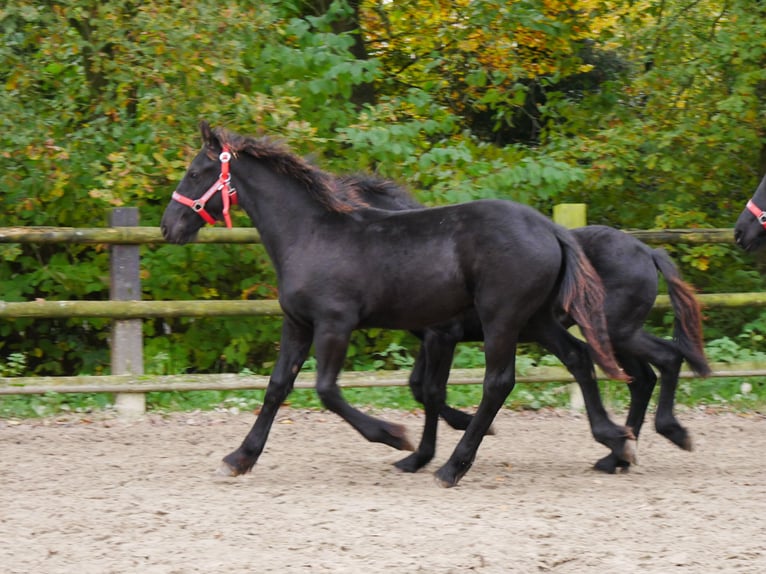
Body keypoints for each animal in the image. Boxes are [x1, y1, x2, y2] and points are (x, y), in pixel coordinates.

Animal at [162, 124, 632, 488]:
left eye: (195, 172)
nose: (169, 226)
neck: (310, 235)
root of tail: (551, 228)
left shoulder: (337, 325)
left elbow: (329, 390)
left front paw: (395, 437)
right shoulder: (297, 324)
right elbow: (278, 387)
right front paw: (239, 458)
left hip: (503, 319)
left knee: (498, 382)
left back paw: (453, 467)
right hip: (535, 320)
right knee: (577, 356)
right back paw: (616, 442)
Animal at [348, 176, 712, 476]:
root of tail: (648, 250)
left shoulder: (442, 336)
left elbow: (429, 390)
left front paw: (429, 450)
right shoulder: (432, 339)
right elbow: (417, 386)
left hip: (615, 332)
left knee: (665, 359)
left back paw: (666, 434)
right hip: (614, 336)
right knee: (644, 377)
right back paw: (618, 456)